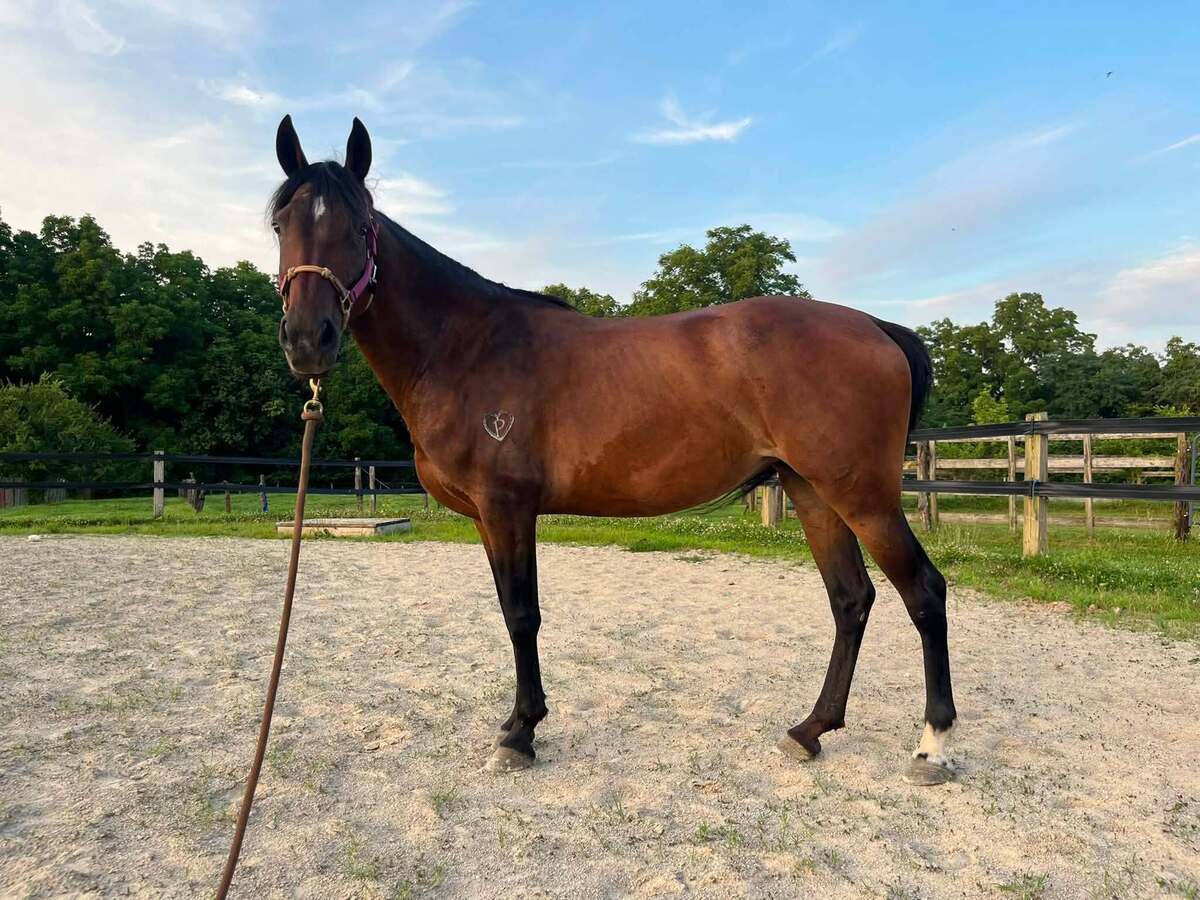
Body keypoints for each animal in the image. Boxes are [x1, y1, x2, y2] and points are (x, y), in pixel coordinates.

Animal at [270, 115, 956, 786]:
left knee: (923, 592)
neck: (465, 347)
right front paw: (517, 723)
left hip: (862, 497)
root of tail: (876, 327)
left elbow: (521, 614)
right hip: (812, 491)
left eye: (360, 226)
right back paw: (810, 731)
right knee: (851, 600)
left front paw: (520, 735)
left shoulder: (507, 508)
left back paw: (933, 746)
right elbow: (509, 610)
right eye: (281, 224)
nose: (307, 339)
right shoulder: (488, 519)